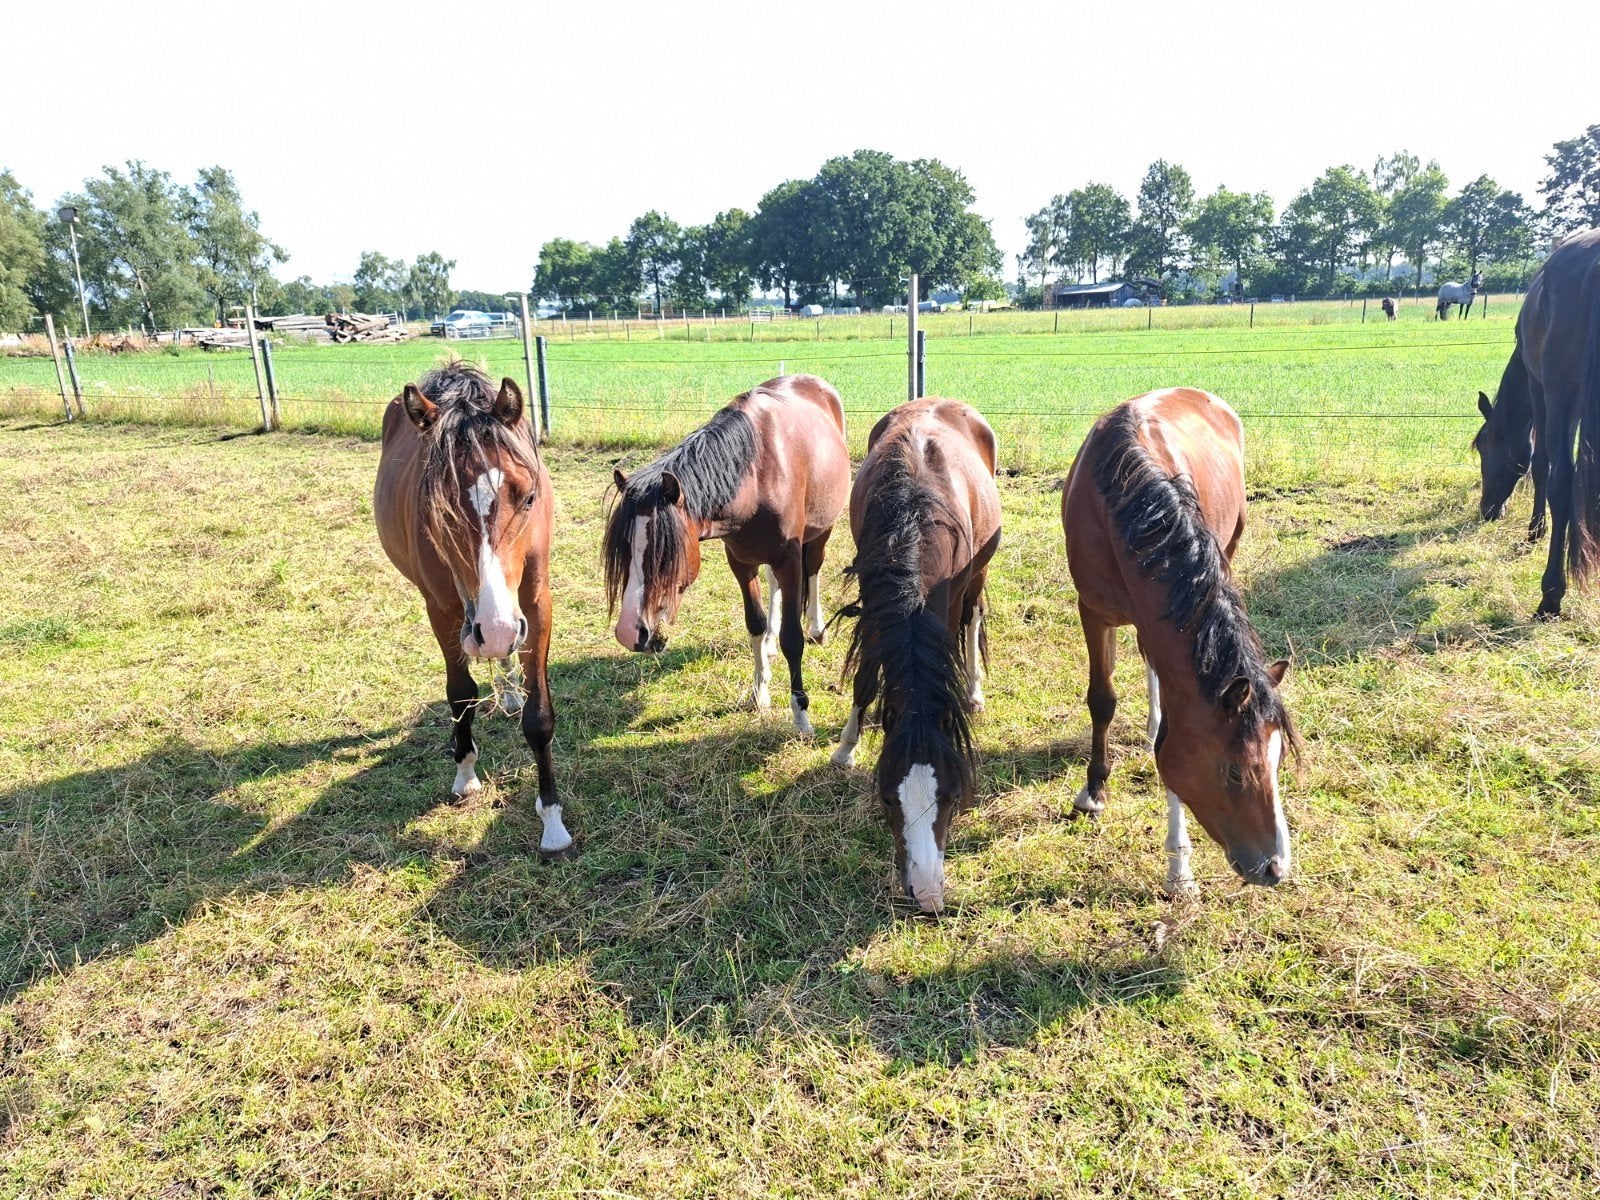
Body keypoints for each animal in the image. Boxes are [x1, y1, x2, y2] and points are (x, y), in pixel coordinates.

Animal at [373, 360, 573, 857]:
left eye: (528, 497)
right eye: (437, 507)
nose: (496, 630)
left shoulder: (535, 602)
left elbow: (539, 717)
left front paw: (552, 821)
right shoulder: (444, 610)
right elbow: (460, 693)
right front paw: (465, 773)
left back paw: (509, 687)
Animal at [603, 374, 849, 734]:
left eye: (665, 554)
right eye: (623, 549)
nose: (627, 631)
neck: (756, 477)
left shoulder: (789, 560)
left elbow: (793, 637)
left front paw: (800, 714)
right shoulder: (741, 562)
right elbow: (755, 623)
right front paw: (760, 691)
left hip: (823, 528)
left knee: (814, 567)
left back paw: (817, 629)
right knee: (774, 586)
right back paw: (771, 643)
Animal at [831, 398, 1002, 914]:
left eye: (950, 798)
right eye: (889, 799)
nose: (926, 896)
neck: (913, 516)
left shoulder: (950, 595)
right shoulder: (875, 601)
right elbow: (866, 678)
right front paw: (846, 746)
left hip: (978, 578)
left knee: (974, 618)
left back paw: (974, 692)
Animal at [1061, 388, 1295, 897]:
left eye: (1277, 760)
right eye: (1234, 770)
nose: (1276, 868)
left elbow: (1170, 734)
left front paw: (1179, 868)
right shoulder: (1093, 611)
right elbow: (1102, 700)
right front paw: (1093, 791)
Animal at [1473, 228, 1600, 617]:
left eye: (1482, 448)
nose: (1488, 511)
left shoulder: (1540, 387)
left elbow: (1541, 464)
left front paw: (1534, 532)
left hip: (1558, 392)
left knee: (1562, 477)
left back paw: (1551, 594)